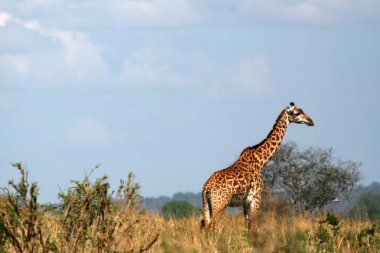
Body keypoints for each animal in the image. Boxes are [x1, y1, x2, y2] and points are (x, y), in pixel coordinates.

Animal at [200, 102, 314, 231]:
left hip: (207, 205)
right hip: (220, 204)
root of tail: (206, 188)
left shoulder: (245, 202)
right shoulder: (255, 198)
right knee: (210, 226)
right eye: (297, 113)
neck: (260, 162)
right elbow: (254, 225)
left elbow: (248, 226)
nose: (311, 121)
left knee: (205, 225)